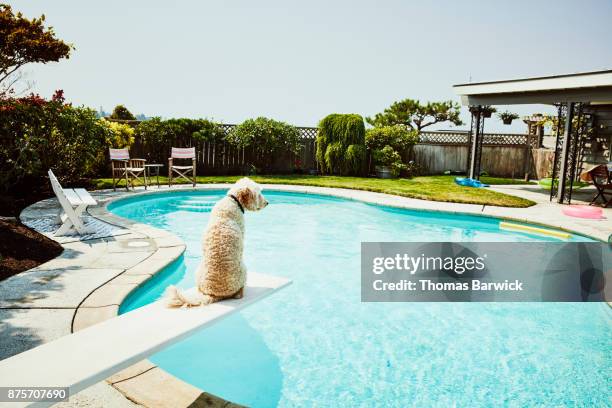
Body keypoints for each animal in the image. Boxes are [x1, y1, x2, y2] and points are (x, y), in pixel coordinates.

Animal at [165, 177, 268, 308]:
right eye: (259, 194)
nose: (267, 202)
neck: (233, 201)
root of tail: (214, 294)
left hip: (198, 272)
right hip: (244, 270)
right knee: (238, 293)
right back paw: (240, 291)